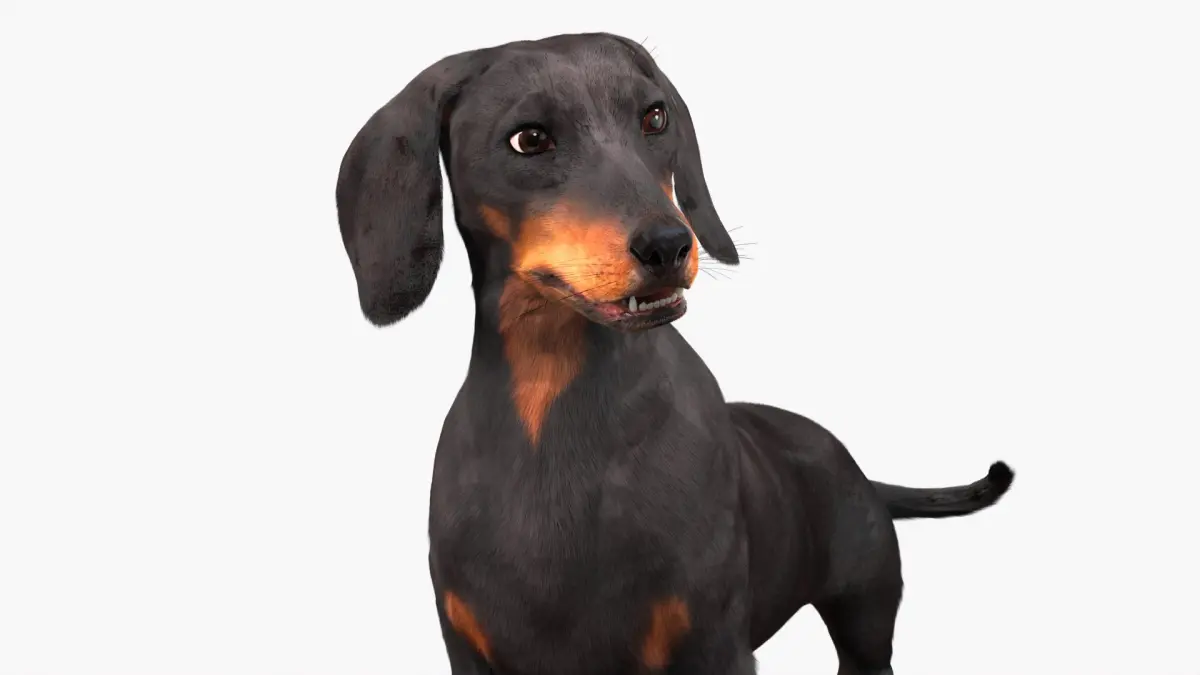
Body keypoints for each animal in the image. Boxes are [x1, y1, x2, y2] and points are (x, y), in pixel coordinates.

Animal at [335, 32, 1013, 675]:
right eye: (529, 139)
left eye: (654, 117)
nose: (668, 245)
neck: (552, 407)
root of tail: (860, 473)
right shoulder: (468, 651)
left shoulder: (713, 647)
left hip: (865, 625)